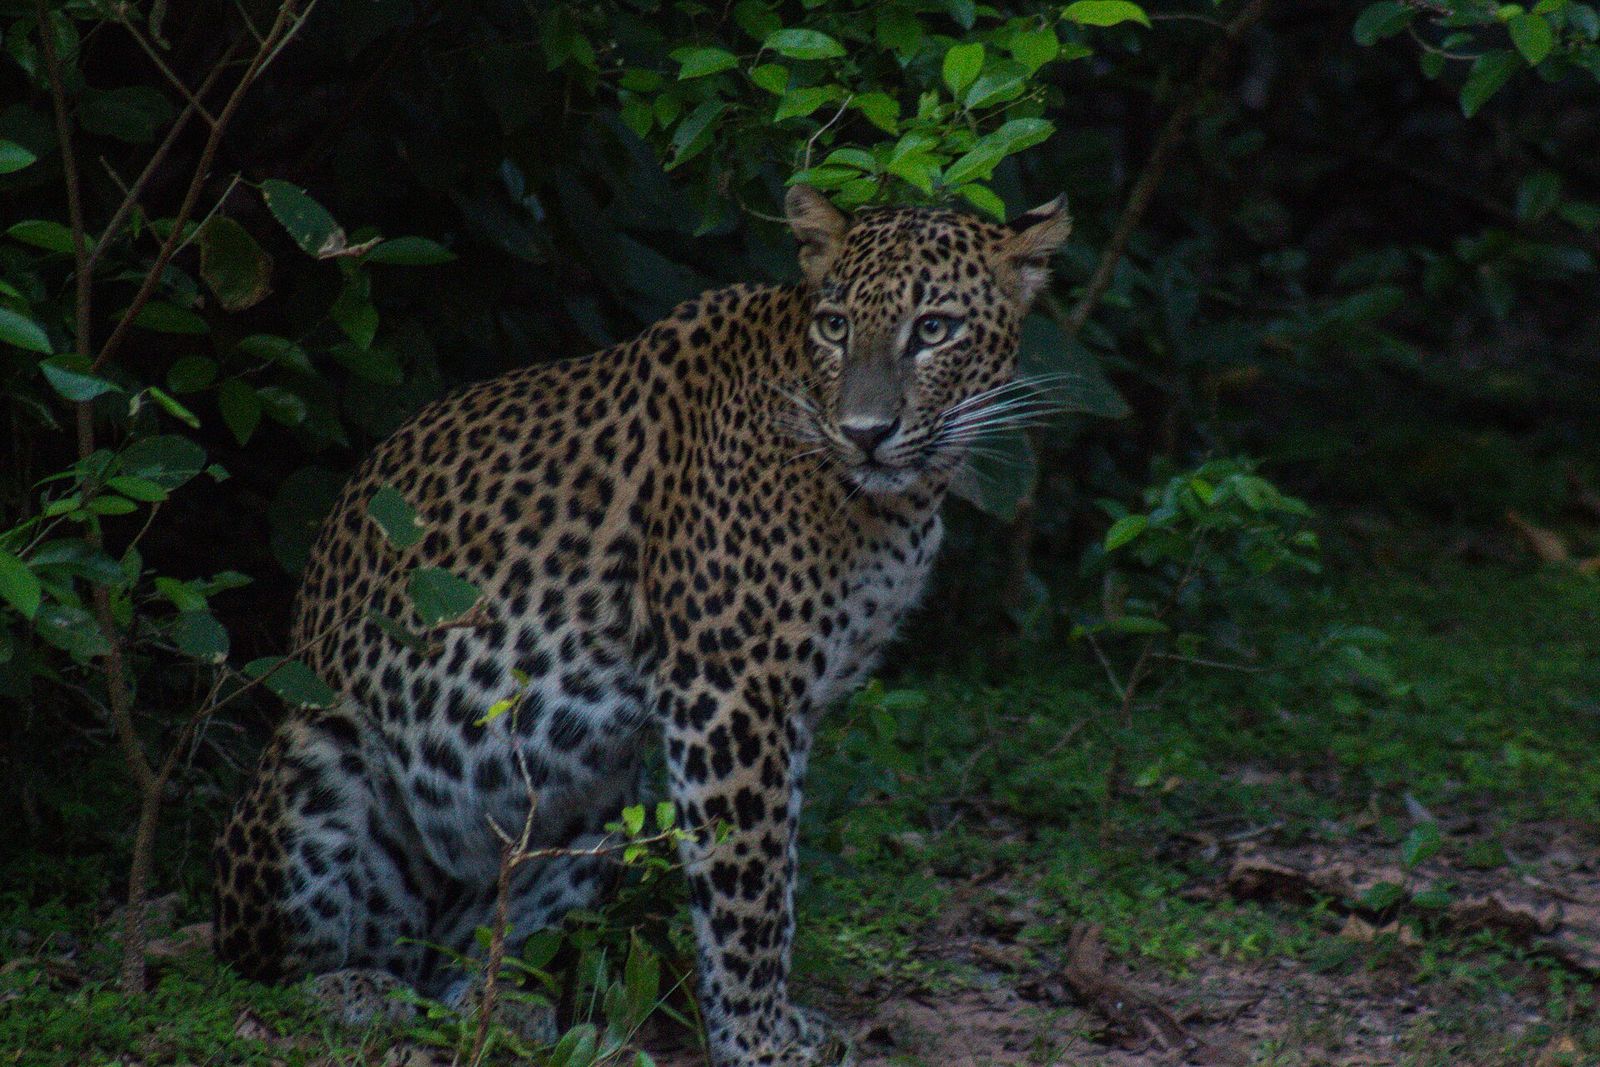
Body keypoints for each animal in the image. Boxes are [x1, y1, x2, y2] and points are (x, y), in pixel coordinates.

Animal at [213, 184, 1071, 1066]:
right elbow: (749, 885)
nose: (866, 432)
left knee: (468, 963)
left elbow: (780, 865)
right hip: (318, 752)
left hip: (599, 805)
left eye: (933, 329)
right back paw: (355, 991)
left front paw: (778, 1022)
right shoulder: (730, 687)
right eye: (836, 326)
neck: (890, 505)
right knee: (256, 964)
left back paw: (507, 1004)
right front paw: (758, 1038)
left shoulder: (790, 705)